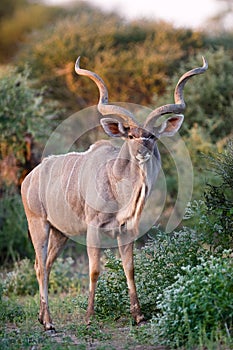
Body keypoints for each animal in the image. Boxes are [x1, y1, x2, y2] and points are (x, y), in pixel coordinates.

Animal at [21, 56, 208, 330]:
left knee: (42, 264)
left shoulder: (126, 229)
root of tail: (29, 178)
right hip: (39, 224)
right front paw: (89, 317)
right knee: (41, 266)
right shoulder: (93, 228)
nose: (142, 152)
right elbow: (94, 270)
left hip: (60, 233)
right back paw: (49, 323)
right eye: (130, 135)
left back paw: (42, 317)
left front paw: (138, 315)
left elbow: (129, 268)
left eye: (152, 136)